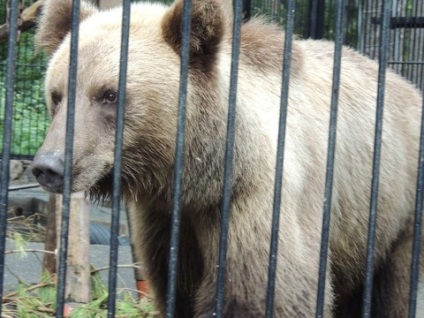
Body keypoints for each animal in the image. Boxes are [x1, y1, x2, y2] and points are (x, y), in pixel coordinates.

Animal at [31, 0, 424, 316]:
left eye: (109, 95)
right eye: (57, 95)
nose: (49, 166)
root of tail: (406, 84)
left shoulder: (256, 204)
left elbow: (264, 294)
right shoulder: (168, 222)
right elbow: (178, 289)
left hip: (393, 207)